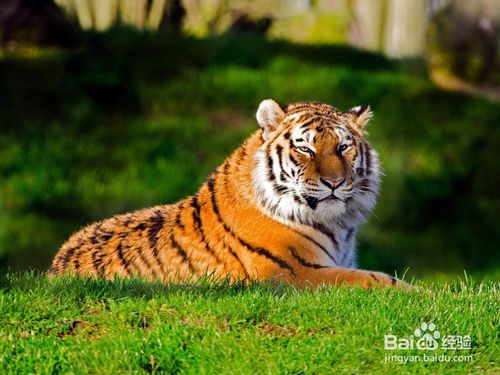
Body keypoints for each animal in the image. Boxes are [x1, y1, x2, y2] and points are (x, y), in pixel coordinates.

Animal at [48, 99, 408, 288]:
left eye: (343, 147)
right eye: (305, 148)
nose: (334, 182)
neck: (336, 225)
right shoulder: (293, 273)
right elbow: (378, 280)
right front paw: (419, 295)